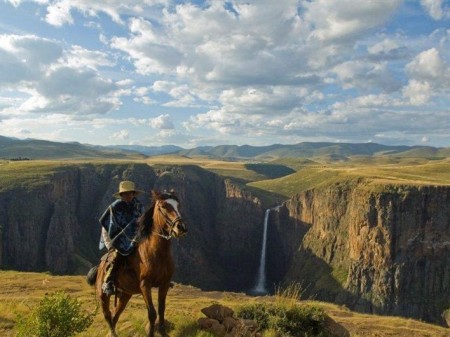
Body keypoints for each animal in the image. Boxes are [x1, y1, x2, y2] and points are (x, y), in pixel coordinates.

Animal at [87, 190, 187, 334]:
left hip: (125, 295)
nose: (181, 227)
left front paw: (162, 332)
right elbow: (152, 313)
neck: (156, 253)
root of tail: (99, 267)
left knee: (115, 316)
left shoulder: (164, 284)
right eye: (163, 206)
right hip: (103, 296)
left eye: (178, 205)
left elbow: (161, 310)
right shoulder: (145, 285)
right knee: (108, 316)